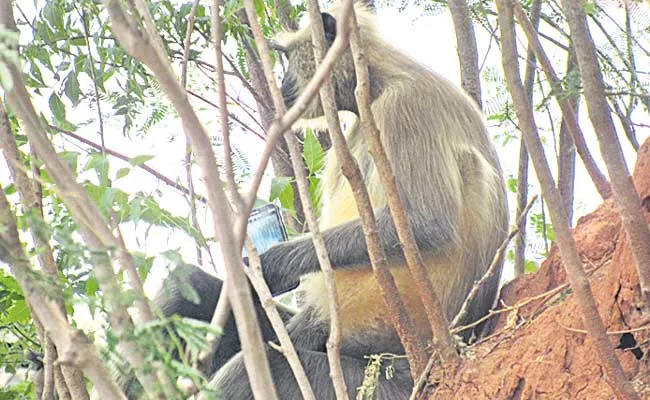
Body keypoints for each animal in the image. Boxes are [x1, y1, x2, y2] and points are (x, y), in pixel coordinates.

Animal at [120, 1, 506, 398]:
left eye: (288, 58)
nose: (283, 85)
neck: (378, 82)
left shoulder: (406, 105)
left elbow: (427, 224)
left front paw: (271, 265)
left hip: (378, 381)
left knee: (259, 366)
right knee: (191, 288)